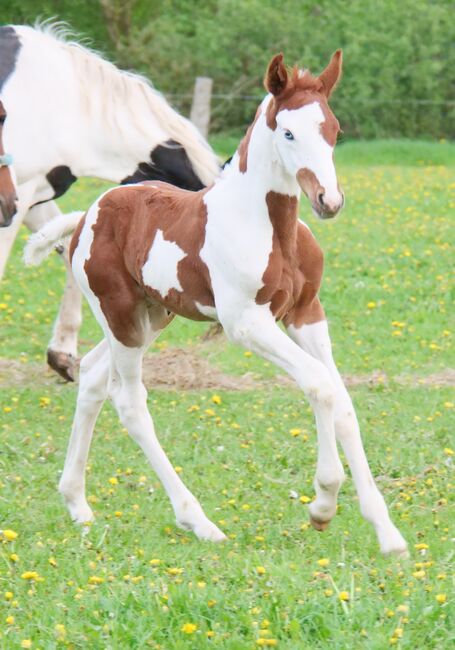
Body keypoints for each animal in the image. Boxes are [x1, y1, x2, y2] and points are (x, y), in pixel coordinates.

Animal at [25, 53, 410, 556]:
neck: (269, 228)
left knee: (90, 377)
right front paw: (325, 502)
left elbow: (338, 397)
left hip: (149, 318)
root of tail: (88, 215)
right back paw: (199, 521)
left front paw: (383, 531)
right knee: (128, 401)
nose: (329, 201)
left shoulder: (307, 313)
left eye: (333, 129)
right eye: (288, 133)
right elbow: (320, 385)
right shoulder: (245, 322)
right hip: (120, 315)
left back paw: (78, 505)